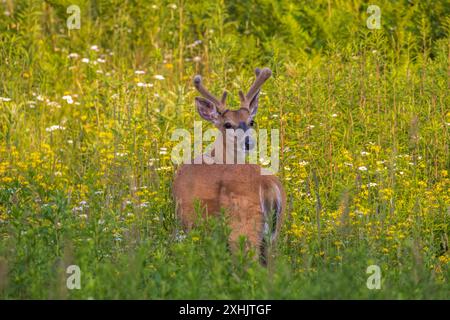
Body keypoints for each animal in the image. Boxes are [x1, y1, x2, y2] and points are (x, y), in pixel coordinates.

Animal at [172, 67, 284, 262]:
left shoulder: (188, 218)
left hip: (242, 228)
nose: (248, 142)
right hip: (274, 235)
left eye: (251, 121)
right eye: (228, 124)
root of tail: (267, 184)